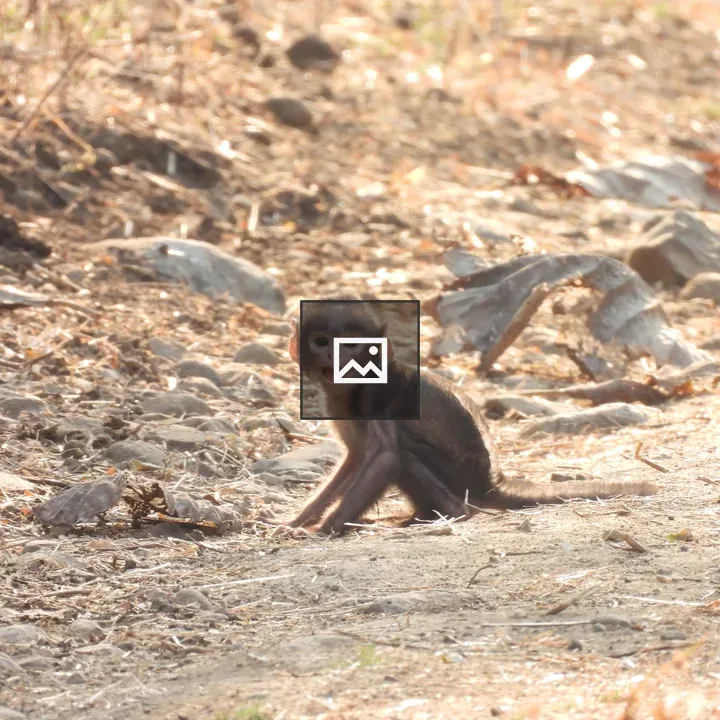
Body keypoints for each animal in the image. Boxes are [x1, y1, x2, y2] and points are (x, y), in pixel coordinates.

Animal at [287, 295, 657, 535]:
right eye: (322, 342)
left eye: (352, 344)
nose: (336, 358)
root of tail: (492, 483)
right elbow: (355, 458)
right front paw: (299, 520)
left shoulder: (381, 395)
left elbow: (386, 455)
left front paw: (323, 530)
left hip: (461, 479)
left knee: (406, 454)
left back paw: (447, 514)